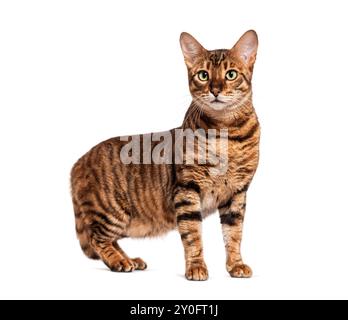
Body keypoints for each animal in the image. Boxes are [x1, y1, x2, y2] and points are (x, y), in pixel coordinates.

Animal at [70, 30, 260, 280]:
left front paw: (236, 264)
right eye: (203, 75)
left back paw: (130, 259)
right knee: (97, 239)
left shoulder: (237, 193)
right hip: (111, 212)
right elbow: (192, 235)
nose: (215, 90)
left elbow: (234, 234)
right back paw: (119, 262)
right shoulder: (187, 189)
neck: (226, 133)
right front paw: (196, 267)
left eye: (231, 75)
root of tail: (79, 161)